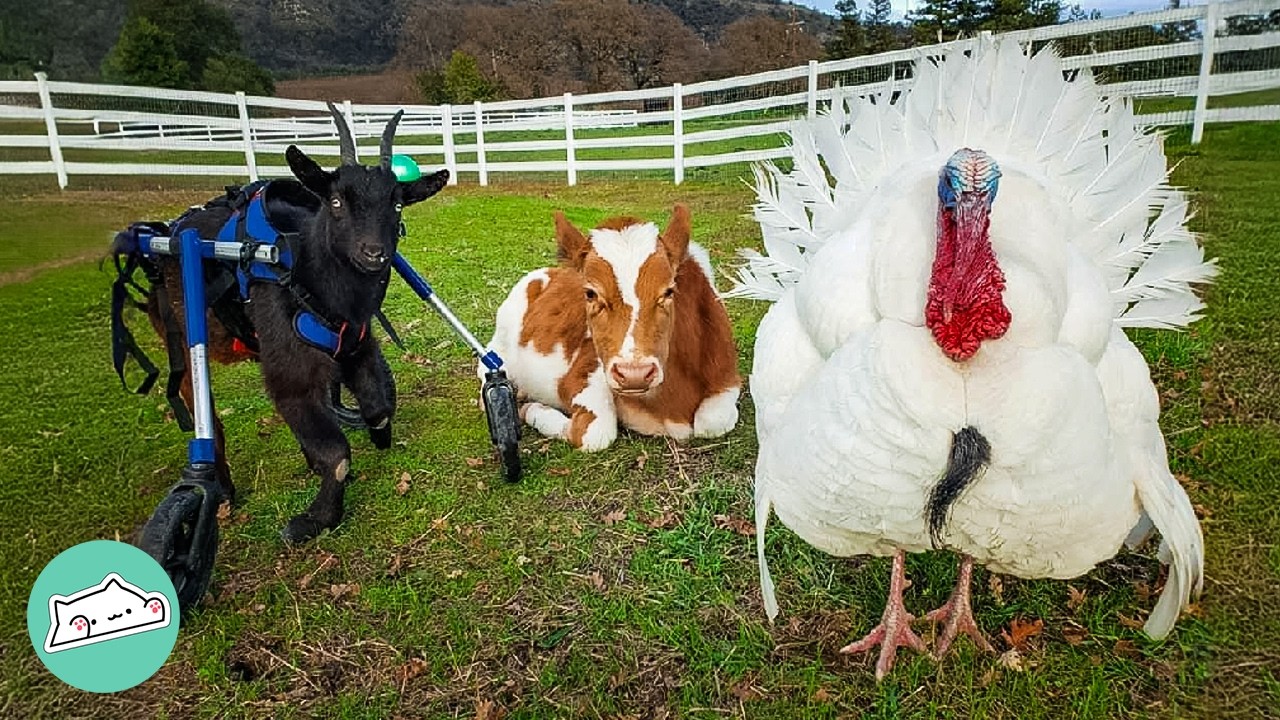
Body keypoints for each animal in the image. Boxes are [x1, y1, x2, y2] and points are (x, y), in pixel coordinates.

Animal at [114, 105, 449, 543]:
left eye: (396, 205)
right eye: (336, 201)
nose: (373, 253)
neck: (307, 274)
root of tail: (162, 234)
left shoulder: (356, 343)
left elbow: (378, 409)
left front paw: (377, 437)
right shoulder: (291, 367)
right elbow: (335, 453)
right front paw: (314, 519)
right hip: (181, 337)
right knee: (205, 414)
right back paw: (220, 491)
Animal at [482, 205, 741, 451]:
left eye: (669, 291)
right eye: (590, 293)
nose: (634, 374)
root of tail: (547, 271)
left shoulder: (728, 377)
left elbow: (713, 422)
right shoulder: (584, 372)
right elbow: (596, 434)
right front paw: (532, 410)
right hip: (498, 345)